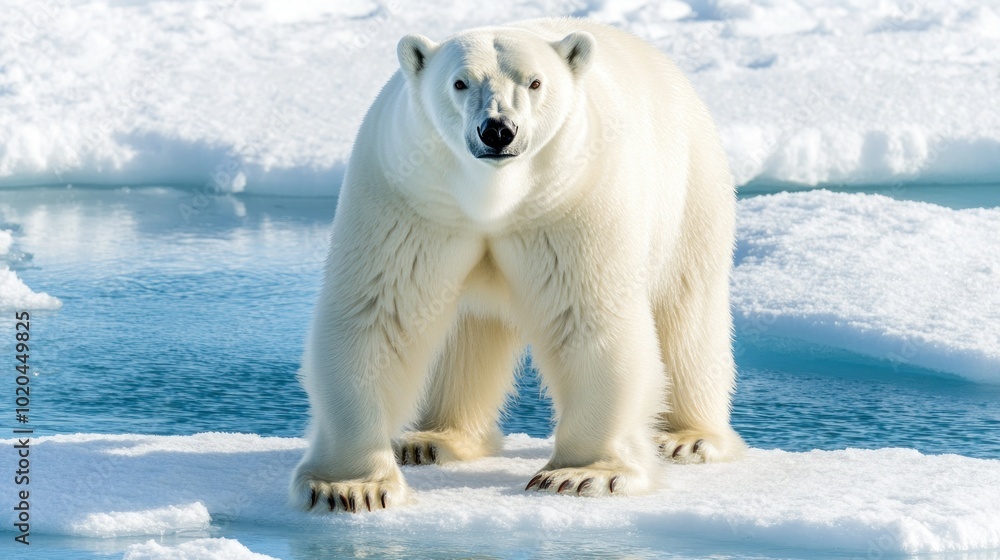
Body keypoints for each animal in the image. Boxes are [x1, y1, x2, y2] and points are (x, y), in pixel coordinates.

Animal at [290, 17, 745, 513]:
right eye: (460, 82)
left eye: (535, 82)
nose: (497, 130)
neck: (492, 197)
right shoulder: (408, 199)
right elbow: (377, 315)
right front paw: (349, 486)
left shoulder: (572, 203)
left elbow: (586, 317)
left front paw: (581, 474)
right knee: (467, 330)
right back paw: (432, 439)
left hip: (690, 190)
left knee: (687, 311)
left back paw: (688, 438)